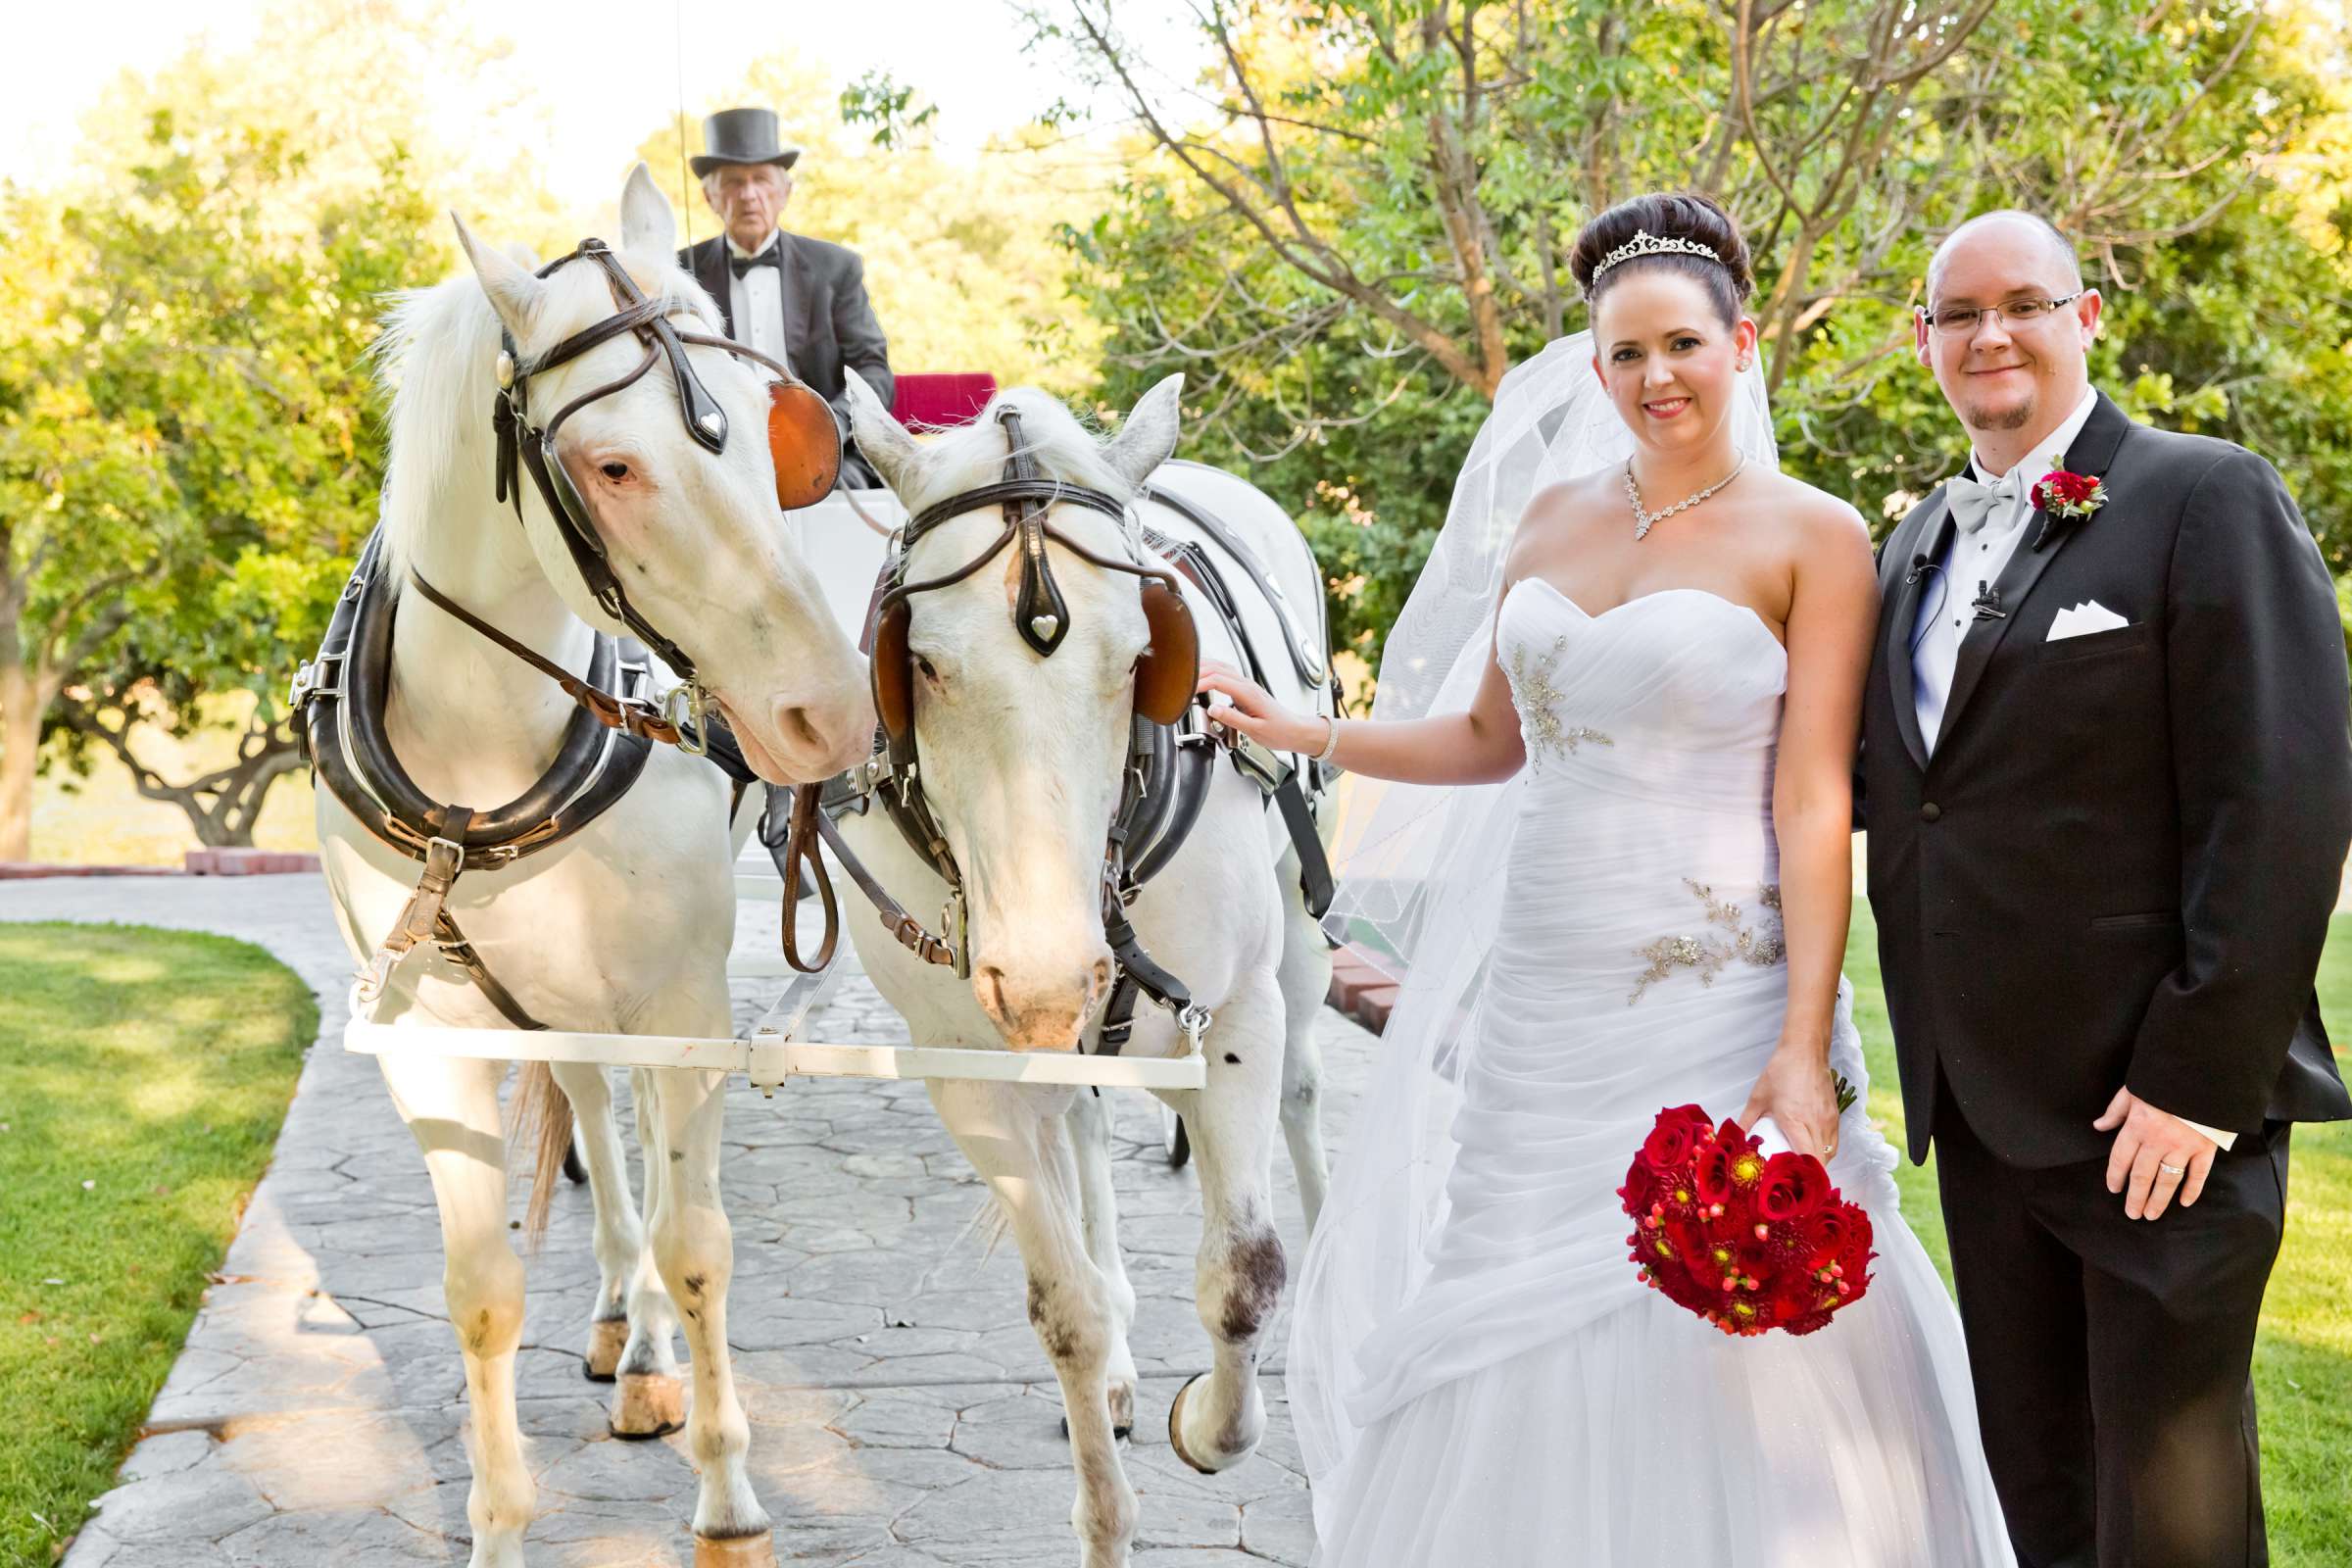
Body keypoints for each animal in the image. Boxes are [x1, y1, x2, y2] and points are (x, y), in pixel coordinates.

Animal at [308, 169, 870, 1568]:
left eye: (774, 440)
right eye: (613, 464)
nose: (833, 713)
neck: (487, 741)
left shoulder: (685, 998)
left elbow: (700, 1242)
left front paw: (729, 1498)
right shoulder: (426, 1034)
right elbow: (482, 1290)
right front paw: (500, 1523)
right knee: (594, 1114)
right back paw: (627, 1325)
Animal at [837, 380, 1336, 1568]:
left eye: (1141, 656)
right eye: (921, 662)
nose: (1049, 977)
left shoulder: (1232, 1017)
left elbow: (1245, 1274)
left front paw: (1209, 1426)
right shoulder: (971, 1064)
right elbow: (1062, 1309)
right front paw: (1105, 1505)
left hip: (1296, 931)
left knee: (1303, 1095)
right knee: (1083, 1130)